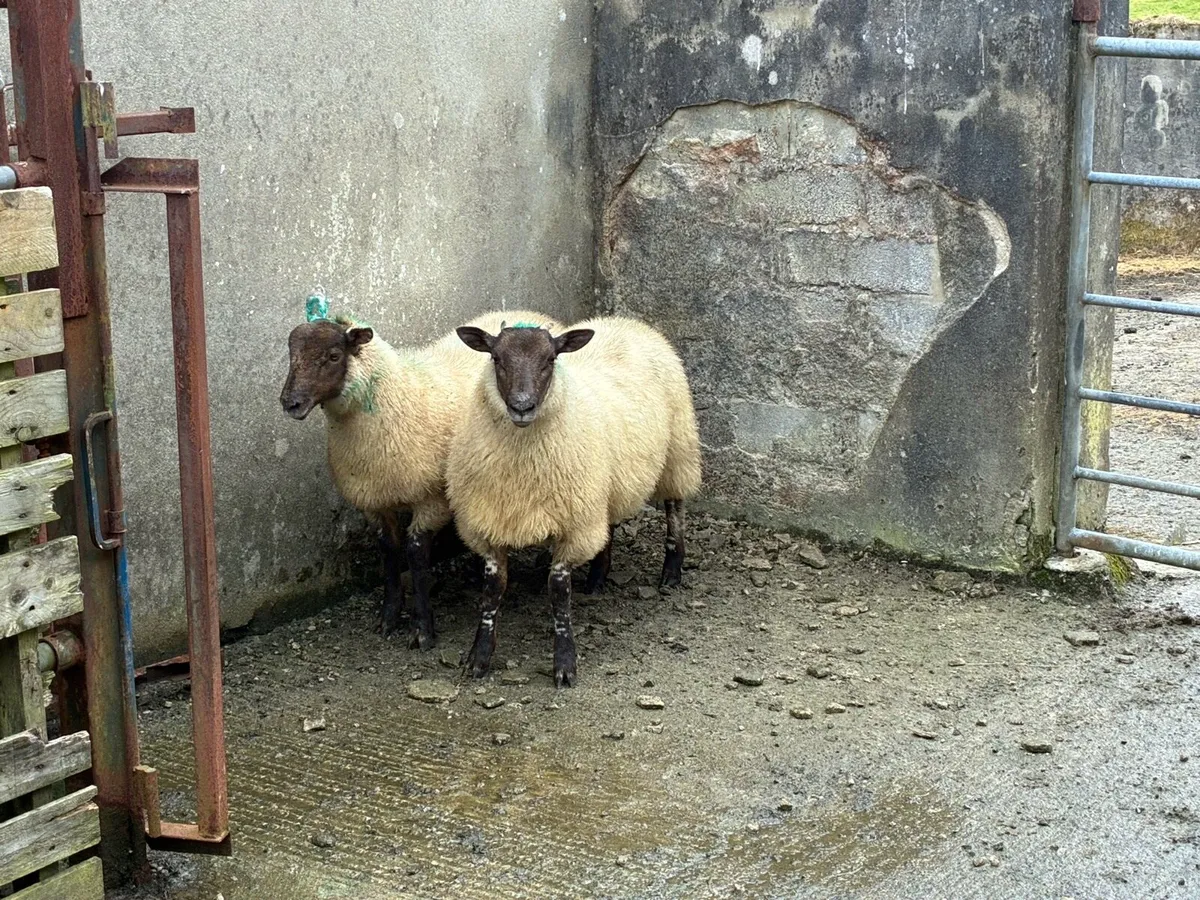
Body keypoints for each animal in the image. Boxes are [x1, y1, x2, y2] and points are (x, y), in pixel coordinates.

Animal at [280, 307, 561, 649]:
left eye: (333, 356)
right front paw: (389, 616)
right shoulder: (373, 501)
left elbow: (415, 555)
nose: (290, 403)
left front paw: (422, 628)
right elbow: (389, 550)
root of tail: (530, 313)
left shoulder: (431, 499)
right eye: (291, 354)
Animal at [446, 316, 702, 686]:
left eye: (550, 359)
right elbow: (492, 593)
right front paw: (478, 657)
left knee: (675, 506)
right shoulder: (489, 523)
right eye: (496, 358)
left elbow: (558, 593)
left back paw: (671, 570)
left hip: (677, 451)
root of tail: (626, 321)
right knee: (608, 523)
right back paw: (597, 578)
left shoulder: (573, 525)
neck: (520, 464)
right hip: (604, 485)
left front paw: (565, 663)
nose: (522, 406)